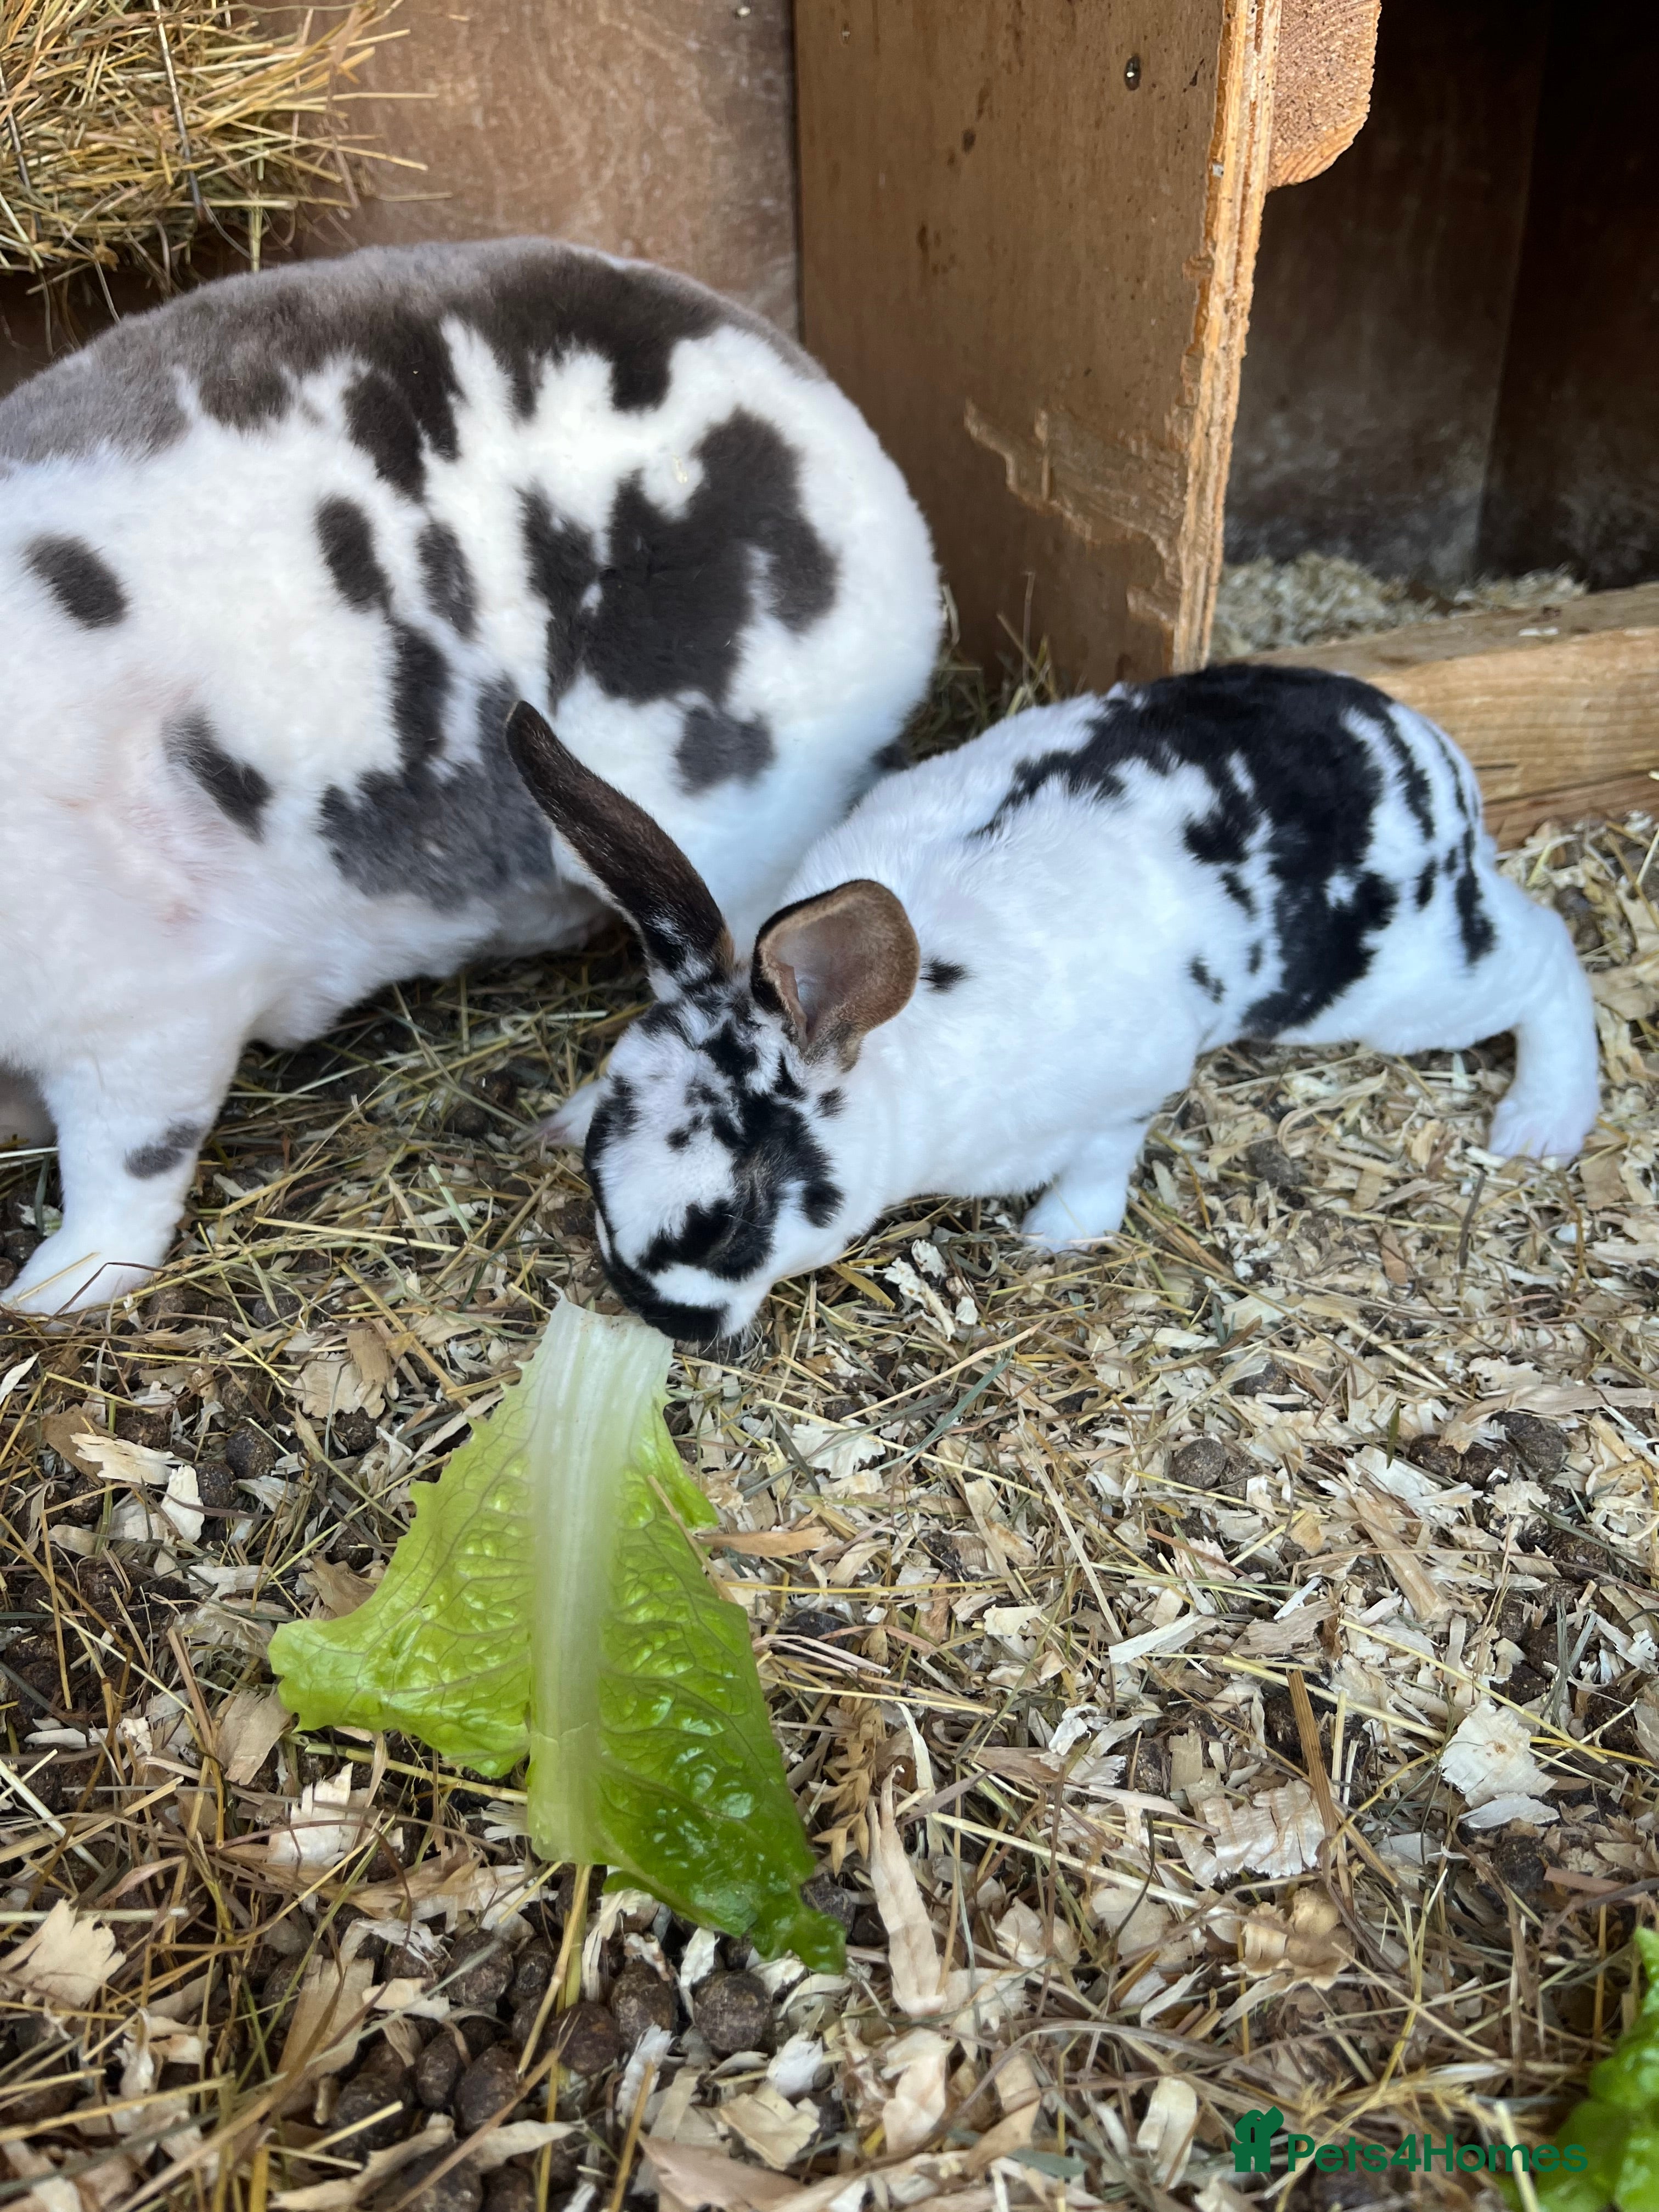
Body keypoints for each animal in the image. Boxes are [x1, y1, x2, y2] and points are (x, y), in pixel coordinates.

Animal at [505, 662, 1602, 1344]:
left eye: (728, 1219)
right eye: (596, 1171)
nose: (662, 1319)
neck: (898, 1038)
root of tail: (1430, 753)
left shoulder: (1130, 1085)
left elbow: (1108, 1150)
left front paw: (1059, 1232)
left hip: (1404, 984)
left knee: (1543, 950)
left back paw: (1542, 1124)